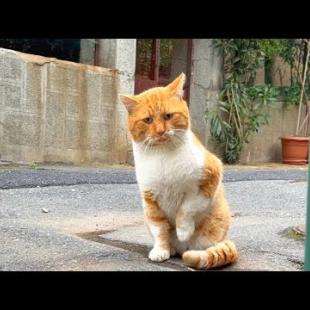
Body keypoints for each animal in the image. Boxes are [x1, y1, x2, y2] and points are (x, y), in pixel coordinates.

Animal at [120, 72, 239, 268]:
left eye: (168, 116)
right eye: (148, 120)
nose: (160, 131)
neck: (163, 156)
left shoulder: (209, 179)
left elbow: (187, 208)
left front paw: (183, 230)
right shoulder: (150, 200)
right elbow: (160, 229)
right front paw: (161, 250)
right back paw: (172, 249)